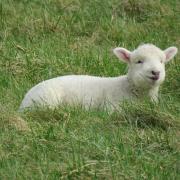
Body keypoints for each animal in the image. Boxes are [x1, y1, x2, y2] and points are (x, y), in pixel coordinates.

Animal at [19, 43, 177, 111]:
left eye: (162, 61)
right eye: (139, 61)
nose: (156, 72)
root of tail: (23, 102)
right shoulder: (113, 108)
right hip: (46, 101)